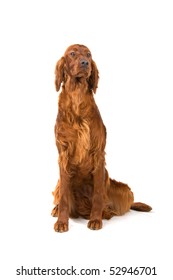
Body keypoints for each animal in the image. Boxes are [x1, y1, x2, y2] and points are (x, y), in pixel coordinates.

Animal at [51, 43, 151, 232]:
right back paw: (56, 209)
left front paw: (96, 219)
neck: (77, 98)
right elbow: (64, 197)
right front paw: (62, 221)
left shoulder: (98, 153)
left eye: (89, 54)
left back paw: (106, 213)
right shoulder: (63, 155)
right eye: (72, 54)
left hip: (125, 190)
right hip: (58, 182)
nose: (85, 63)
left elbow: (98, 193)